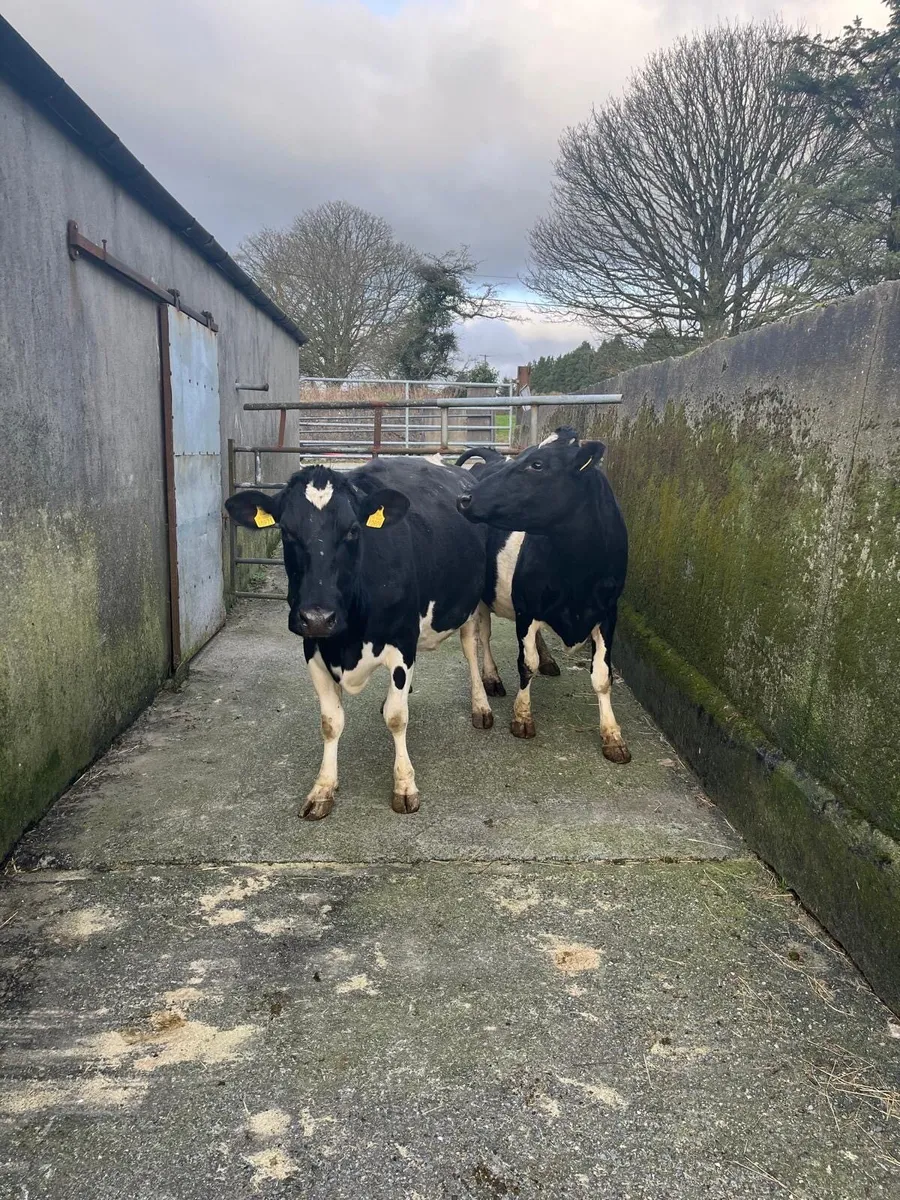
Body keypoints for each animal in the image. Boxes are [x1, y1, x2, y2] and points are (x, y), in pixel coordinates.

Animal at [225, 456, 494, 820]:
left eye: (353, 530)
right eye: (287, 530)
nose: (318, 616)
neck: (347, 641)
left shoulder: (401, 641)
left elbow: (397, 718)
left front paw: (404, 785)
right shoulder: (313, 647)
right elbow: (331, 722)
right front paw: (323, 788)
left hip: (471, 602)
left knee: (471, 648)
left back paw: (481, 705)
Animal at [456, 427, 631, 764]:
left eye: (537, 465)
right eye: (525, 456)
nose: (464, 498)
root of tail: (491, 457)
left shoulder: (607, 612)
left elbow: (603, 676)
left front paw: (612, 735)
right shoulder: (527, 608)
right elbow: (527, 663)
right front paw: (522, 718)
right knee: (476, 640)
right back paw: (485, 692)